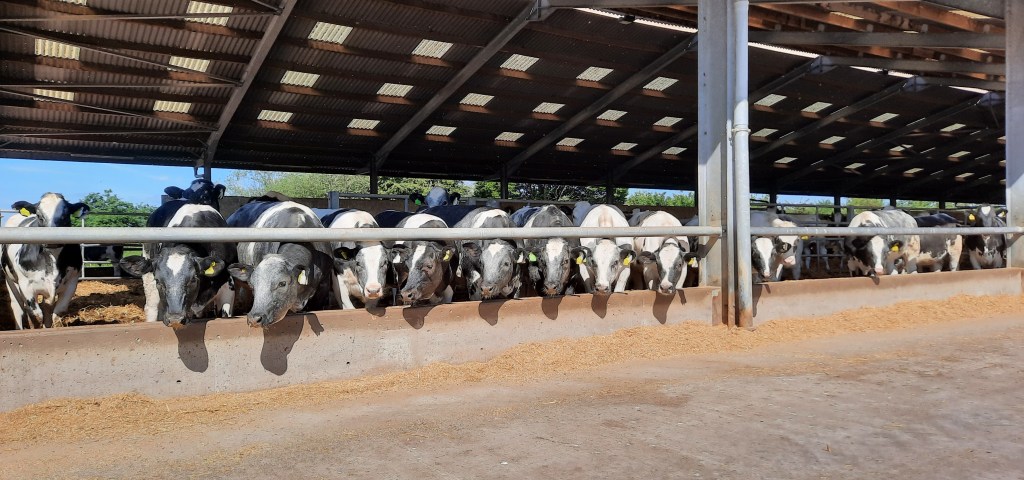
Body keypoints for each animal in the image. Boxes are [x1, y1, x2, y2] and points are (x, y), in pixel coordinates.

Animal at [1, 192, 90, 327]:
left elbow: (57, 312)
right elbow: (36, 314)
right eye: (39, 215)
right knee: (18, 307)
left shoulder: (72, 282)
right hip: (10, 280)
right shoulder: (25, 285)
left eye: (66, 215)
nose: (52, 240)